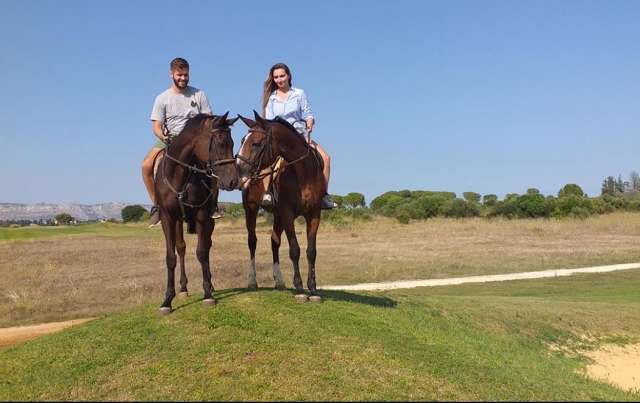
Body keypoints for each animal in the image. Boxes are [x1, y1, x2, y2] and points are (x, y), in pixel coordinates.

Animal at [154, 112, 238, 315]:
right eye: (221, 143)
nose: (233, 181)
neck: (179, 177)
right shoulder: (167, 218)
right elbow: (171, 257)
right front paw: (167, 300)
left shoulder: (201, 215)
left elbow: (201, 252)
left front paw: (207, 293)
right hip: (178, 221)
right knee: (181, 248)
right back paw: (183, 288)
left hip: (209, 222)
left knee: (206, 247)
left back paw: (210, 284)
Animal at [235, 110, 325, 303]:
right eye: (242, 141)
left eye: (255, 143)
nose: (238, 169)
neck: (303, 174)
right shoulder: (288, 213)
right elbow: (295, 250)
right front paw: (299, 289)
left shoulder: (314, 214)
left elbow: (311, 251)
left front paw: (313, 290)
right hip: (251, 210)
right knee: (252, 242)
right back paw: (252, 281)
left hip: (277, 217)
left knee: (274, 242)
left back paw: (279, 281)